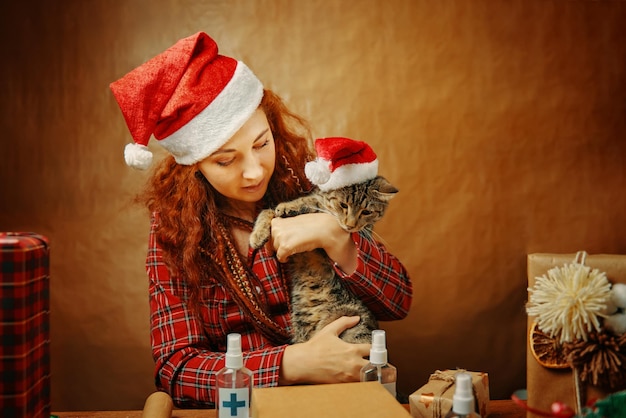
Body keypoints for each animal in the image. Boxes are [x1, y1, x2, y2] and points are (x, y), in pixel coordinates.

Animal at [247, 175, 394, 342]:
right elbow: (267, 211)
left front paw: (289, 206)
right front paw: (258, 235)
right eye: (344, 205)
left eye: (367, 212)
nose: (350, 226)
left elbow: (313, 205)